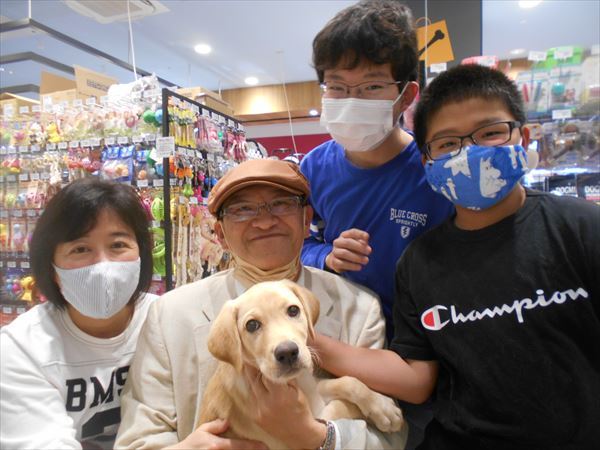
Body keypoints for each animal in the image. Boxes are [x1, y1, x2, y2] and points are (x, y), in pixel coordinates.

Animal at [198, 279, 404, 449]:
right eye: (251, 325)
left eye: (293, 310)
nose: (287, 352)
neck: (296, 383)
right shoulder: (304, 429)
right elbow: (339, 408)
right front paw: (363, 412)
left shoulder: (314, 387)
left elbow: (349, 382)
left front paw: (384, 408)